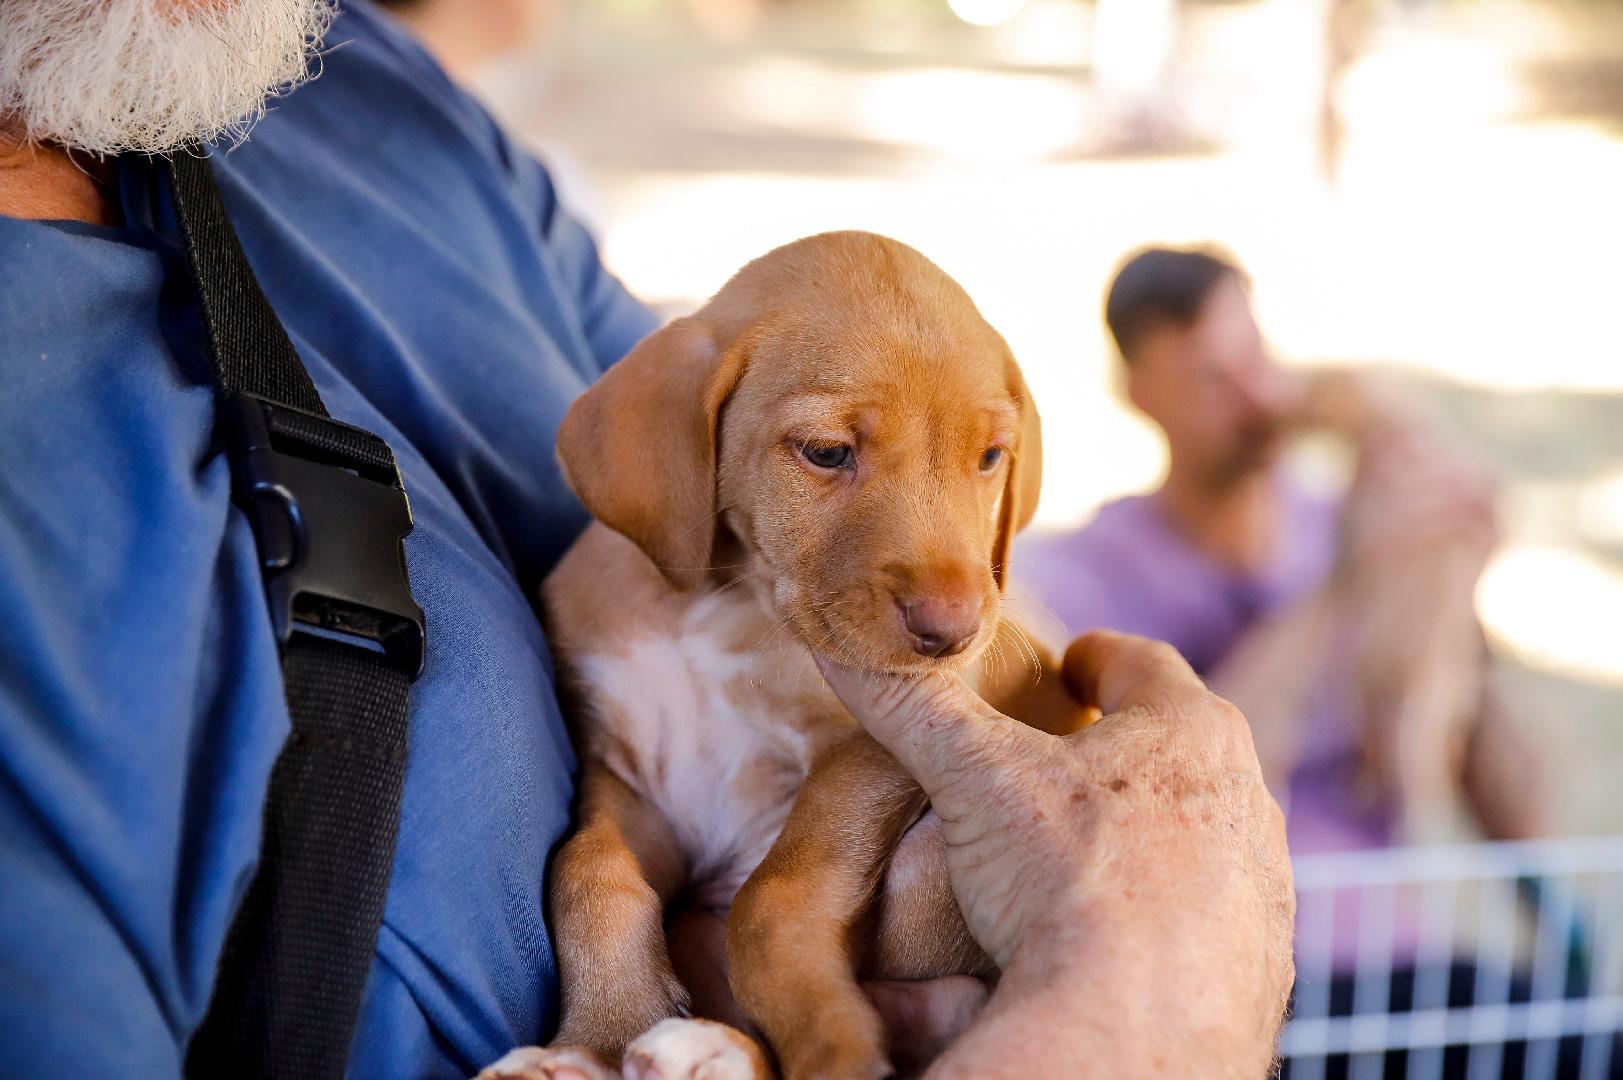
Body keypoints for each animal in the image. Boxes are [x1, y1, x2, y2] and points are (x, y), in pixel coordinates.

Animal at [480, 228, 1090, 1078]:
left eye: (990, 457)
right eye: (826, 452)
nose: (953, 635)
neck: (722, 605)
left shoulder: (863, 750)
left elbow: (777, 893)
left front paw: (831, 1043)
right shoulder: (633, 780)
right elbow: (590, 876)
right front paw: (598, 1035)